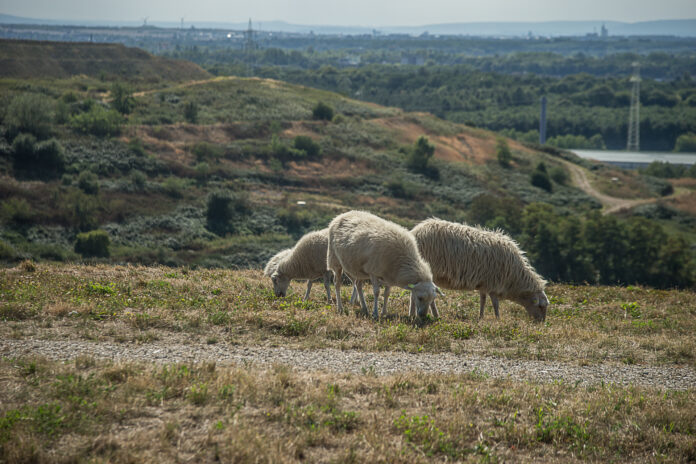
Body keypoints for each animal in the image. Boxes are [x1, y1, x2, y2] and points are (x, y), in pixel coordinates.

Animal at [408, 218, 548, 320]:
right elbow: (495, 303)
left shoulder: (484, 283)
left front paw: (481, 317)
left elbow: (483, 300)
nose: (542, 322)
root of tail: (415, 232)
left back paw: (414, 314)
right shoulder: (493, 283)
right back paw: (434, 315)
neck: (514, 279)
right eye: (541, 306)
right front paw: (498, 318)